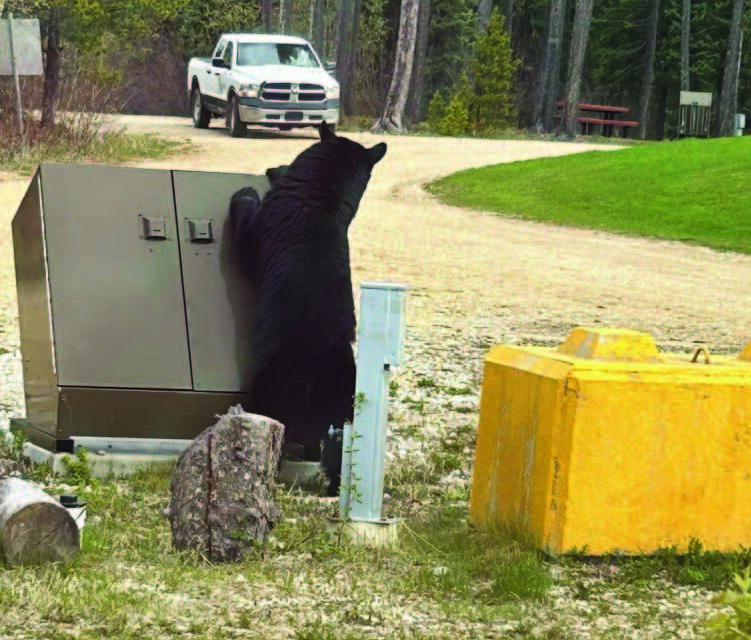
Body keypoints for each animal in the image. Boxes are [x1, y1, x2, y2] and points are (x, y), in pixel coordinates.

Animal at [229, 122, 387, 496]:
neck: (324, 198)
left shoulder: (259, 234)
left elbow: (244, 241)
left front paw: (247, 192)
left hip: (275, 381)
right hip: (346, 399)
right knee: (340, 447)